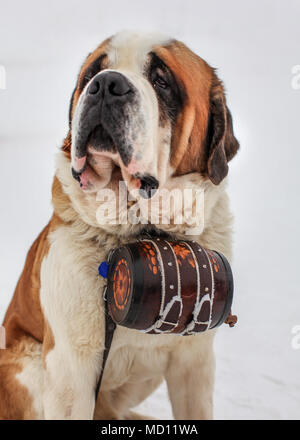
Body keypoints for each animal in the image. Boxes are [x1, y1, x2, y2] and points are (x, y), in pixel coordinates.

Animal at [0, 31, 239, 420]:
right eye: (92, 74)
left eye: (161, 80)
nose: (106, 84)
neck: (141, 231)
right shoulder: (70, 369)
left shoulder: (195, 362)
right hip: (29, 366)